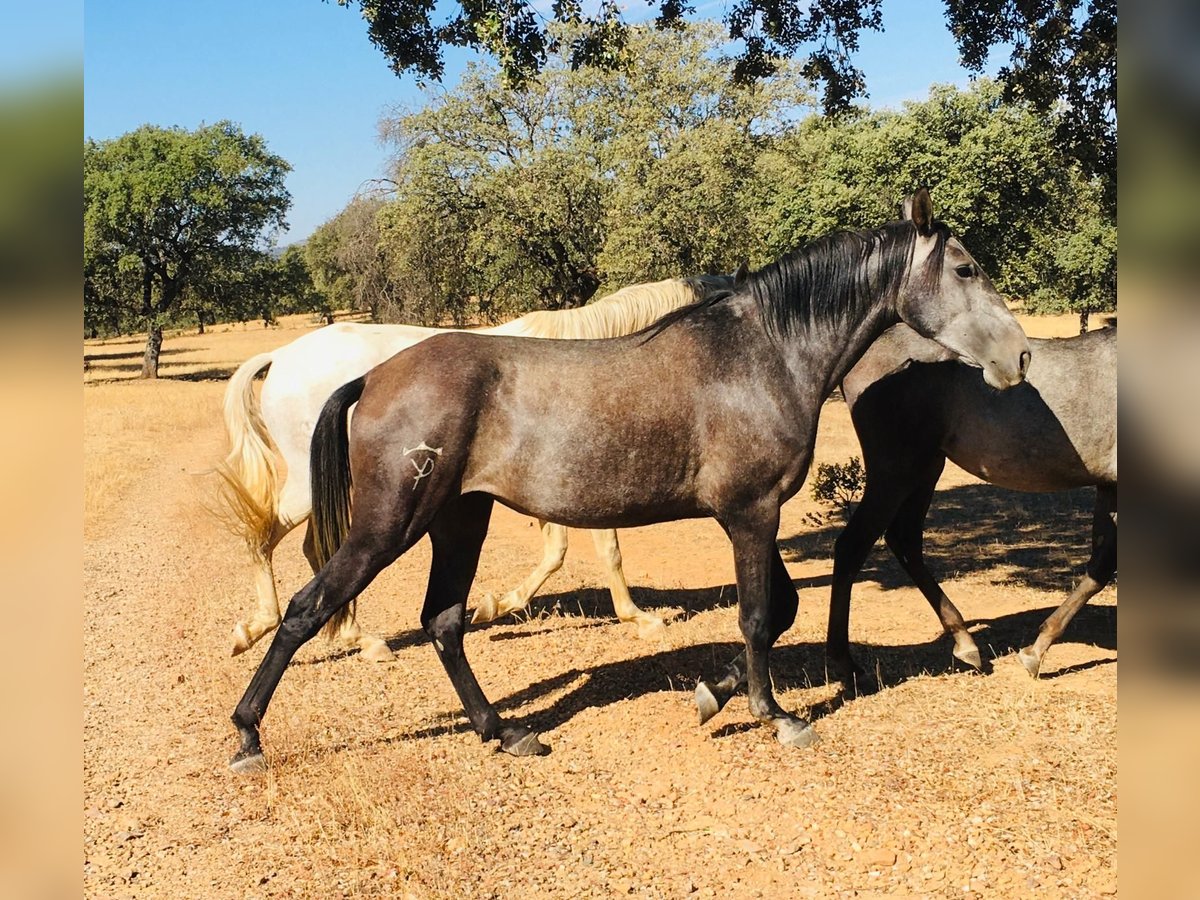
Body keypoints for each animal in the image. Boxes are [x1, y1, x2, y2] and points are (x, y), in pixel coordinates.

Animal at [220, 274, 734, 662]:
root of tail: (282, 356)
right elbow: (605, 550)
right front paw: (639, 619)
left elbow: (557, 552)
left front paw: (494, 605)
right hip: (314, 488)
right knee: (263, 536)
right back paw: (263, 629)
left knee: (311, 547)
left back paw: (356, 638)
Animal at [825, 324, 1113, 681]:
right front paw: (1036, 652)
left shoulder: (1109, 487)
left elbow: (1100, 567)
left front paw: (1037, 648)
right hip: (896, 472)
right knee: (853, 546)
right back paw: (843, 663)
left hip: (926, 468)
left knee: (904, 541)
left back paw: (964, 642)